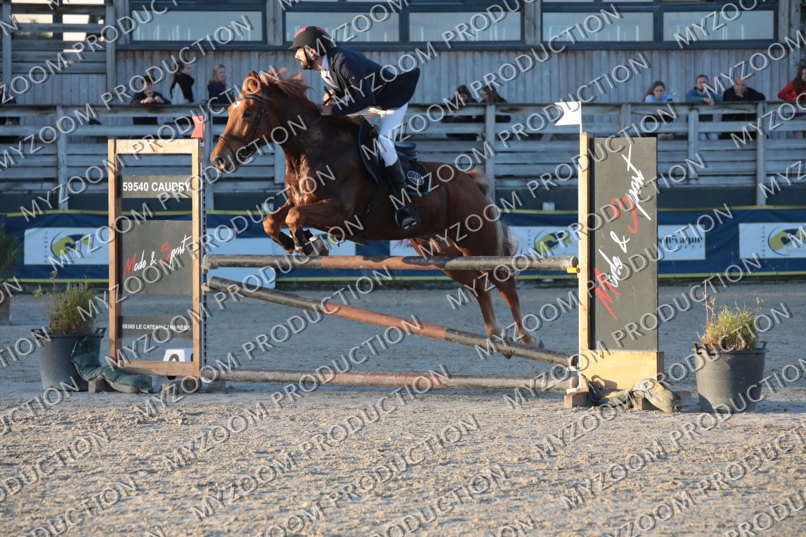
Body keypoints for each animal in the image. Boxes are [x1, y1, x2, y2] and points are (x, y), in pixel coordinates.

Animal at [210, 69, 536, 346]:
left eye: (248, 113)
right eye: (229, 112)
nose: (218, 160)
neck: (312, 148)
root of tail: (469, 180)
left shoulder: (341, 213)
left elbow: (293, 217)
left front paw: (309, 244)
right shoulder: (302, 202)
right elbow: (274, 219)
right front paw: (298, 244)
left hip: (476, 239)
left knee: (504, 281)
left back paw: (526, 337)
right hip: (439, 252)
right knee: (478, 284)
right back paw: (494, 334)